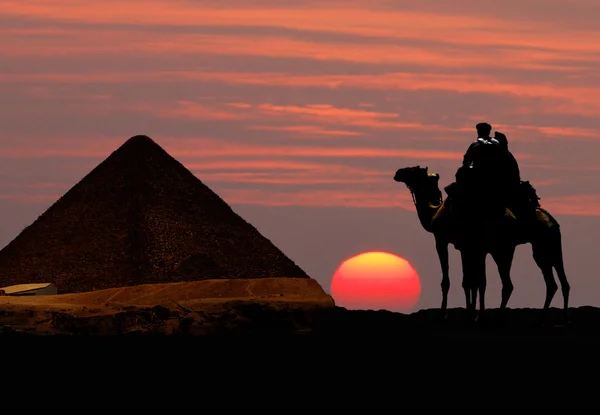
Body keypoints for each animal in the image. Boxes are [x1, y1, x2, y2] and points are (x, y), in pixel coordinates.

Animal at [394, 167, 572, 324]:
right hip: (546, 247)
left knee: (510, 284)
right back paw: (554, 319)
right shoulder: (472, 249)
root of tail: (552, 221)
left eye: (412, 170)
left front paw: (447, 316)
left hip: (507, 250)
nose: (397, 173)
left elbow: (459, 281)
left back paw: (500, 319)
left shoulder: (445, 242)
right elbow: (476, 281)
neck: (434, 214)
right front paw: (474, 315)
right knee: (558, 282)